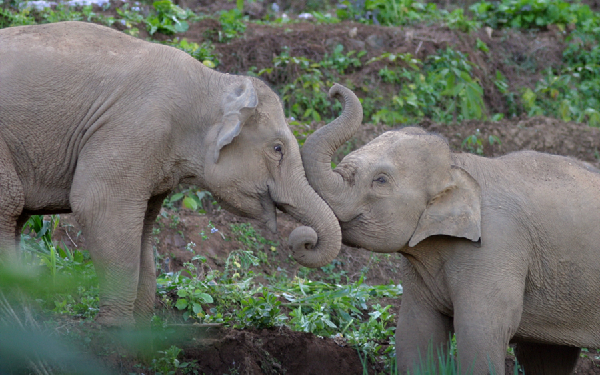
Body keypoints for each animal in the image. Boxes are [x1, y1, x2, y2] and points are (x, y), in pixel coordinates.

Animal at [302, 83, 600, 374]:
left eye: (381, 180)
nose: (333, 89)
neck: (457, 164)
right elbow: (416, 332)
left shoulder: (497, 247)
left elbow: (481, 333)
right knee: (547, 356)